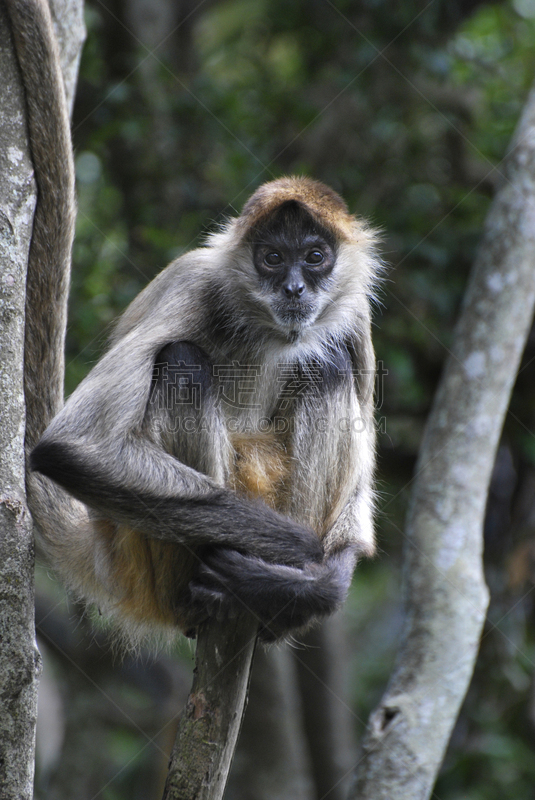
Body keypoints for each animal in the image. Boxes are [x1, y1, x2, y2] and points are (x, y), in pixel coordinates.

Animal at [8, 0, 382, 644]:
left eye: (315, 257)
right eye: (271, 258)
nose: (294, 287)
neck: (267, 329)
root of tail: (106, 547)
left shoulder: (352, 309)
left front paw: (313, 586)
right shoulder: (195, 285)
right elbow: (69, 448)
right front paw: (297, 556)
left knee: (329, 366)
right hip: (148, 547)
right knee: (181, 364)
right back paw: (213, 594)